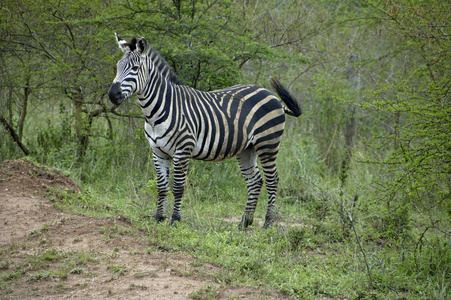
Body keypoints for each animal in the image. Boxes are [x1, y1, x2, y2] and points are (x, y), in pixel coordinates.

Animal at [107, 34, 302, 229]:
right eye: (118, 66)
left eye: (135, 68)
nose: (112, 95)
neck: (157, 111)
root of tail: (270, 94)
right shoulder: (158, 152)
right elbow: (161, 187)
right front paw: (158, 218)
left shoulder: (182, 149)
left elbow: (178, 187)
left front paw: (175, 220)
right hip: (247, 148)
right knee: (255, 181)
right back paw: (244, 223)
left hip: (268, 144)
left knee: (272, 180)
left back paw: (268, 222)